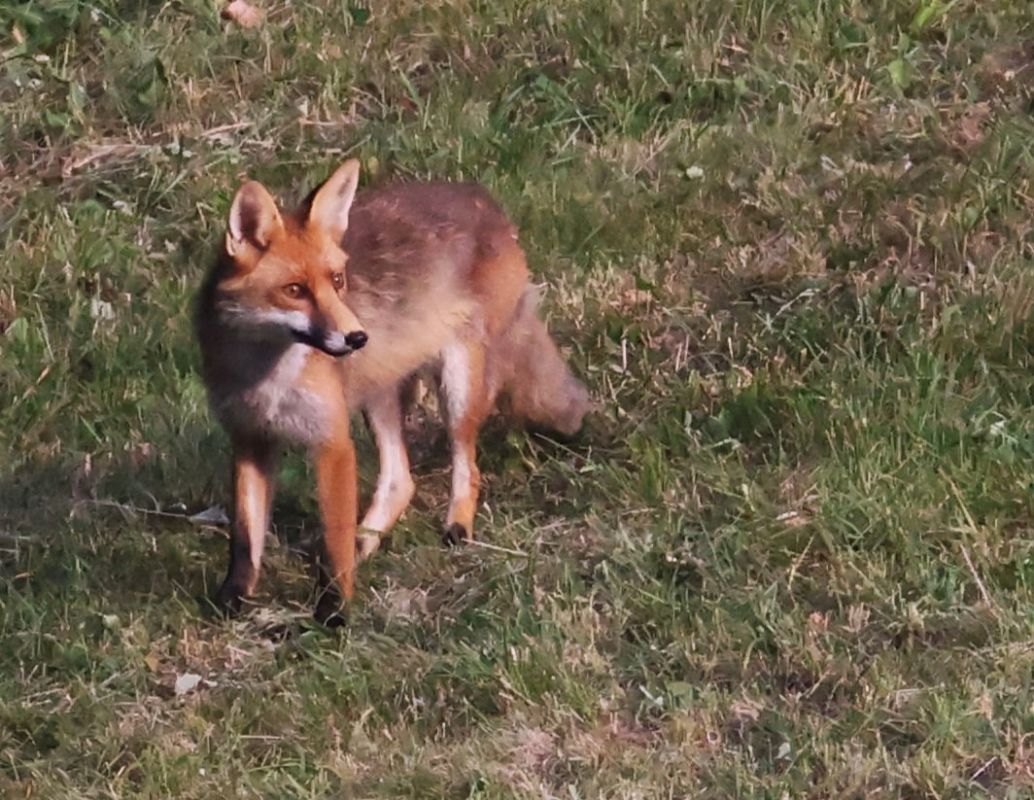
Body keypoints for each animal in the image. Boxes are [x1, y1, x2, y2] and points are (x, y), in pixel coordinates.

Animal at [196, 159, 590, 622]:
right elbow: (245, 536)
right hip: (378, 398)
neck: (265, 375)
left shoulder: (332, 441)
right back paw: (366, 540)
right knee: (401, 481)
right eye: (294, 290)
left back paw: (457, 526)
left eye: (337, 280)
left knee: (467, 466)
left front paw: (335, 610)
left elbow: (333, 535)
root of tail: (480, 197)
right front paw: (232, 598)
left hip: (457, 386)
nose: (356, 338)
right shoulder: (249, 438)